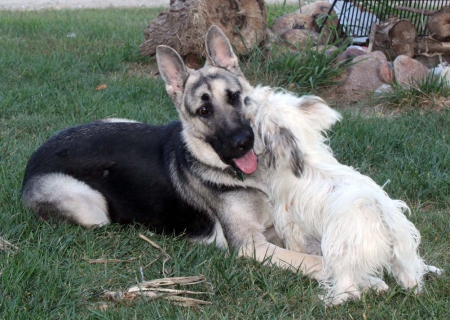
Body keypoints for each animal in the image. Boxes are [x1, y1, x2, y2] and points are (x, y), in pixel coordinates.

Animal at [21, 25, 324, 280]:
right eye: (204, 111)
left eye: (234, 97)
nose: (243, 142)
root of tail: (34, 157)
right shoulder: (250, 245)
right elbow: (310, 260)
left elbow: (310, 243)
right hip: (91, 209)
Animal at [244, 87, 442, 304]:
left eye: (256, 117)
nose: (245, 98)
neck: (304, 156)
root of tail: (382, 218)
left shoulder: (290, 223)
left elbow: (295, 244)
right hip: (401, 255)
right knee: (410, 276)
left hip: (342, 255)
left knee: (349, 287)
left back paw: (332, 300)